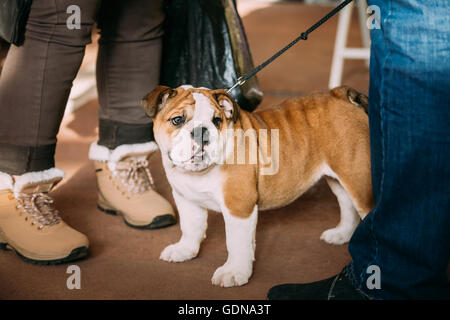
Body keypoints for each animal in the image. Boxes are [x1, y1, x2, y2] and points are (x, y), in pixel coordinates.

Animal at [143, 85, 372, 288]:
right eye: (177, 120)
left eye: (217, 121)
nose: (202, 131)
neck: (199, 173)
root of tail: (342, 94)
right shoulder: (186, 199)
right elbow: (191, 227)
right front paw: (184, 250)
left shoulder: (238, 207)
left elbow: (236, 243)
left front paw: (233, 272)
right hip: (339, 178)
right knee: (346, 202)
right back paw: (341, 234)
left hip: (359, 179)